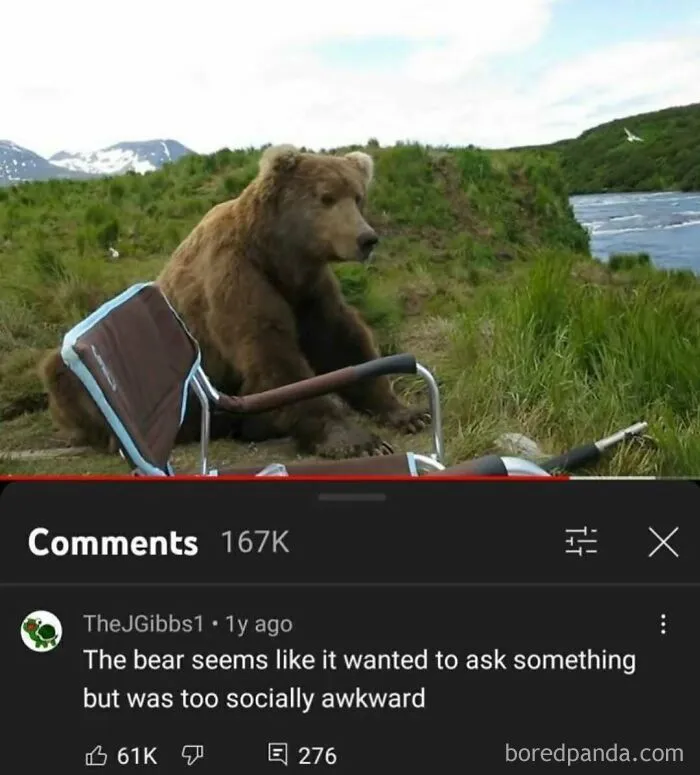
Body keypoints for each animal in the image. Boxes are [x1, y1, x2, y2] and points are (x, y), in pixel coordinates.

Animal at [40, 145, 429, 460]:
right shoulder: (236, 276)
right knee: (62, 374)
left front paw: (408, 412)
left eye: (358, 196)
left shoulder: (308, 289)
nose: (367, 238)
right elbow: (272, 352)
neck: (276, 254)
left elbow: (341, 341)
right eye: (326, 197)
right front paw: (356, 440)